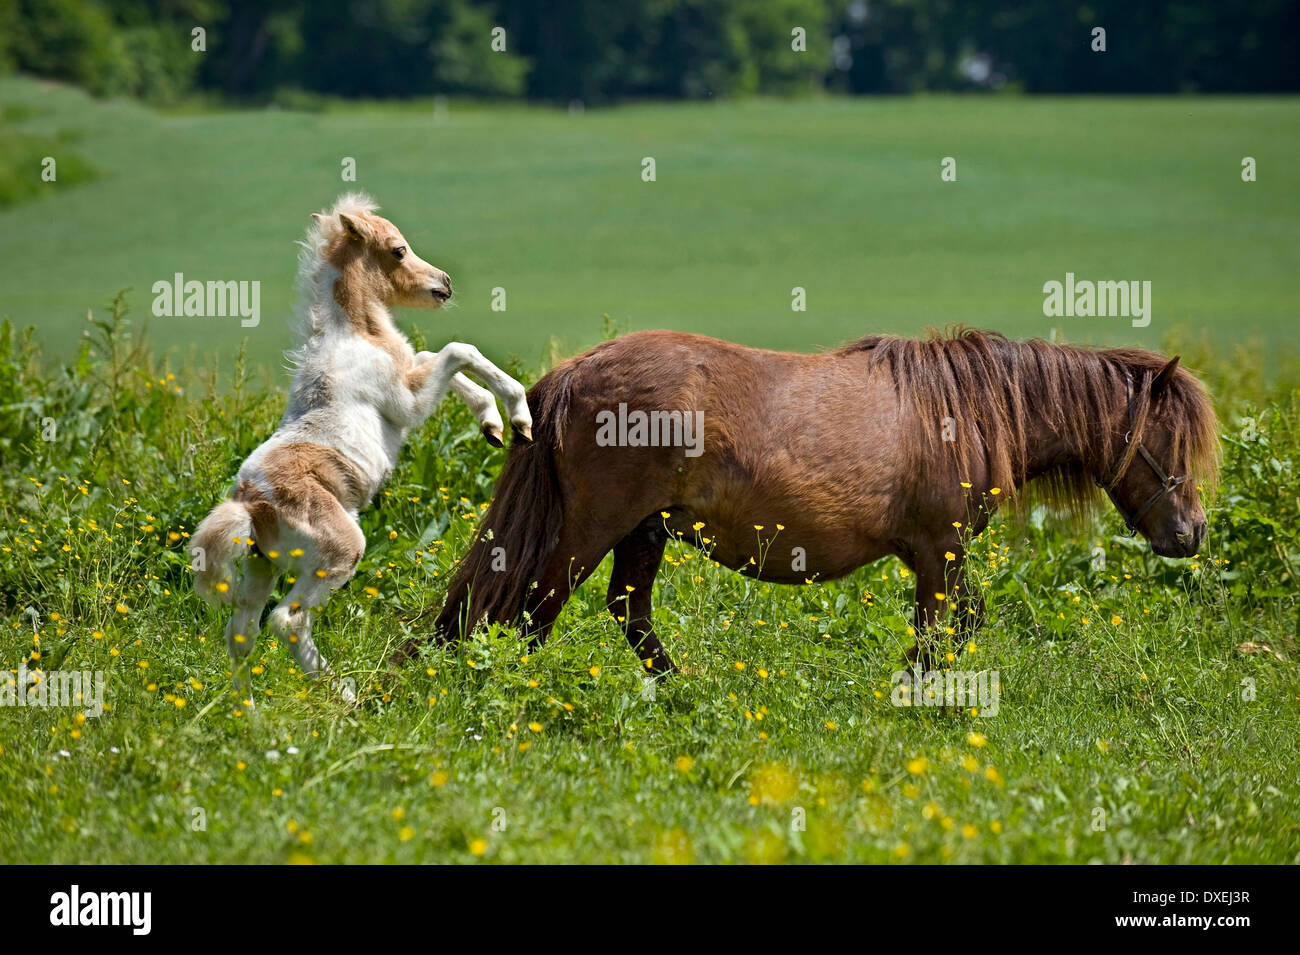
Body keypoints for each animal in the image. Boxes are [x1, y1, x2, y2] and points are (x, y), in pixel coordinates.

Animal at [189, 194, 533, 706]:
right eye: (398, 250)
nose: (444, 283)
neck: (354, 335)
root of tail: (249, 504)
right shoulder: (408, 404)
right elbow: (457, 350)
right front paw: (516, 415)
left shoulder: (410, 378)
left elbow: (434, 356)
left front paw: (491, 425)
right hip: (337, 553)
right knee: (287, 621)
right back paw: (346, 698)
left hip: (260, 568)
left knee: (240, 634)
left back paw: (250, 712)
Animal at [405, 328, 1216, 670]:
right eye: (1171, 442)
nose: (1192, 533)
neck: (965, 409)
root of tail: (571, 374)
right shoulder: (940, 551)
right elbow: (944, 630)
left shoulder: (934, 557)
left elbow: (951, 627)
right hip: (592, 529)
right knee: (536, 610)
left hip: (644, 529)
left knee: (626, 615)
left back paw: (684, 696)